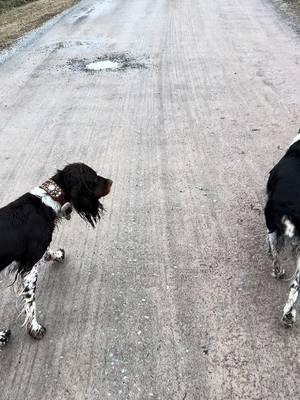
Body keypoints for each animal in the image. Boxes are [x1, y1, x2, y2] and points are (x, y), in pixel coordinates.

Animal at [0, 162, 112, 346]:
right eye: (93, 177)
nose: (111, 181)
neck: (46, 201)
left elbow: (47, 253)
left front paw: (57, 254)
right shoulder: (29, 267)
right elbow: (30, 302)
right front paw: (35, 328)